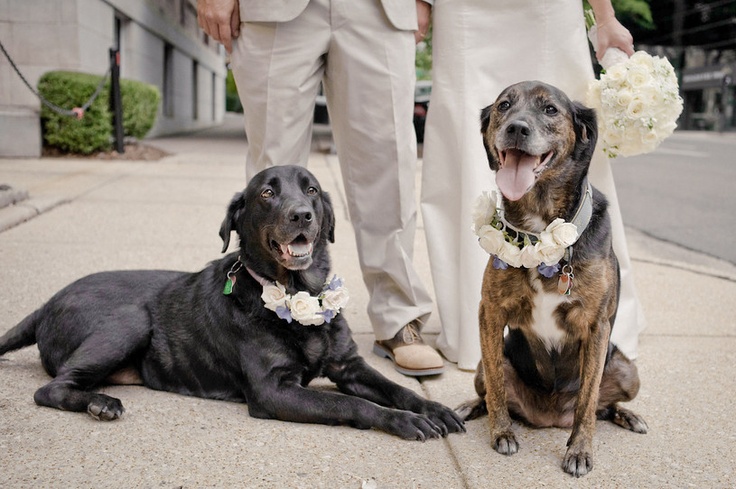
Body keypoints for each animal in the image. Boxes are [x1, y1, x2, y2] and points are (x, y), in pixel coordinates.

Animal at [0, 166, 462, 440]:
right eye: (267, 193)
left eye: (312, 190)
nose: (301, 214)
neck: (296, 293)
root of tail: (47, 302)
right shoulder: (274, 390)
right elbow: (352, 403)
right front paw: (403, 421)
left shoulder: (349, 365)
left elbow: (396, 388)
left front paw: (433, 408)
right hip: (129, 322)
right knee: (49, 388)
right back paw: (99, 403)